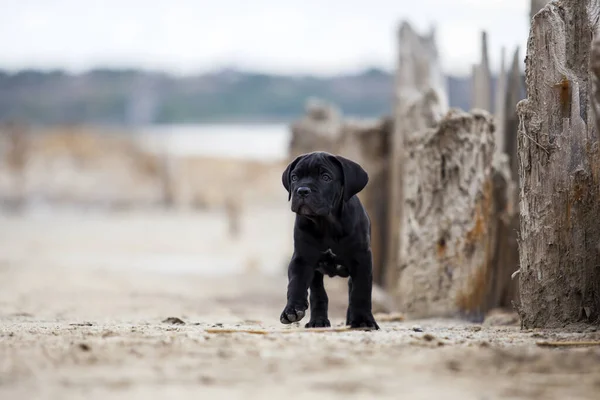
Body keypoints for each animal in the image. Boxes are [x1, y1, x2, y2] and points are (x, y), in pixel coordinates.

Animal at [280, 152, 380, 330]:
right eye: (294, 177)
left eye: (326, 177)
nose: (302, 190)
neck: (326, 223)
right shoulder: (302, 258)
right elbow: (296, 283)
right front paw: (292, 309)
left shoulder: (362, 259)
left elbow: (360, 291)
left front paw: (363, 320)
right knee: (318, 293)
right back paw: (318, 321)